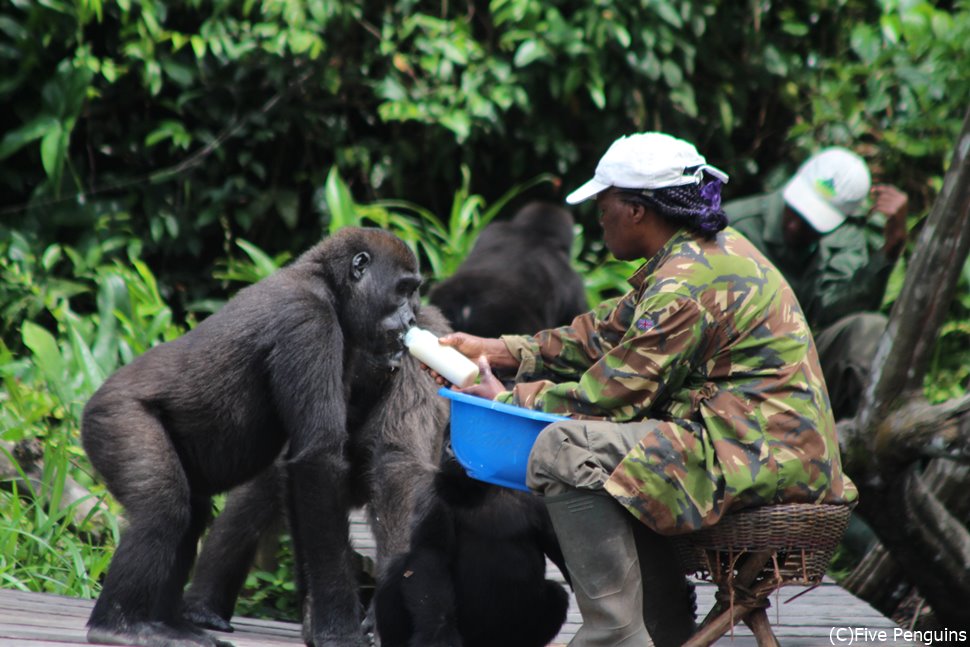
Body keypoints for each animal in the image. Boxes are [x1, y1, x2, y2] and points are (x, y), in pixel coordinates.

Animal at [81, 228, 432, 647]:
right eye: (403, 289)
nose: (412, 318)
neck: (326, 284)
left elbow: (303, 472)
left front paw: (318, 617)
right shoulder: (309, 322)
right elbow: (318, 460)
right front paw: (339, 627)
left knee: (190, 513)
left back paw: (167, 623)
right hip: (115, 417)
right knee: (161, 509)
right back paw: (119, 626)